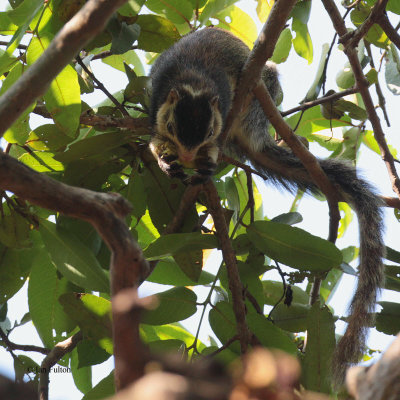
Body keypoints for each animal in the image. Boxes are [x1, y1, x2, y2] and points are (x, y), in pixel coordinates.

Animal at [149, 28, 384, 384]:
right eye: (174, 127)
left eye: (209, 129)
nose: (188, 155)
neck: (194, 80)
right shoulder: (157, 102)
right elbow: (152, 139)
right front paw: (164, 160)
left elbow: (216, 141)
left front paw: (207, 157)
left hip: (261, 98)